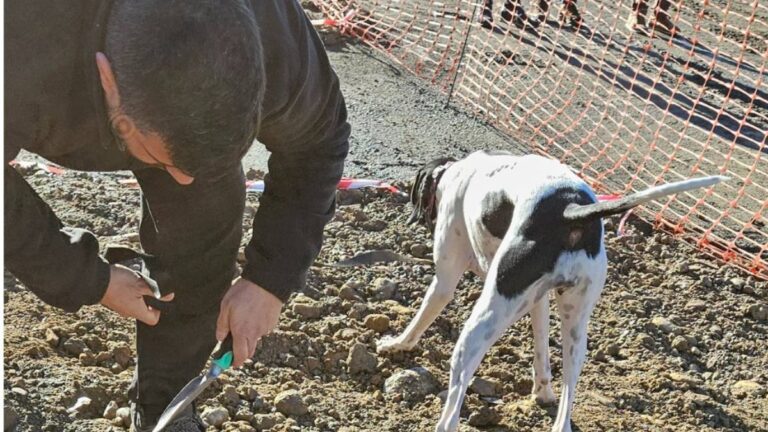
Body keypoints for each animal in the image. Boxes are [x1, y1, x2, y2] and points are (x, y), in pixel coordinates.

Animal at [378, 150, 728, 430]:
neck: (457, 173)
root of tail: (570, 211)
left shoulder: (445, 281)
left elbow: (421, 318)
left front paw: (397, 344)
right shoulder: (539, 300)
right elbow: (542, 351)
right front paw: (542, 391)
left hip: (485, 318)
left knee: (456, 397)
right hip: (575, 327)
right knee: (567, 397)